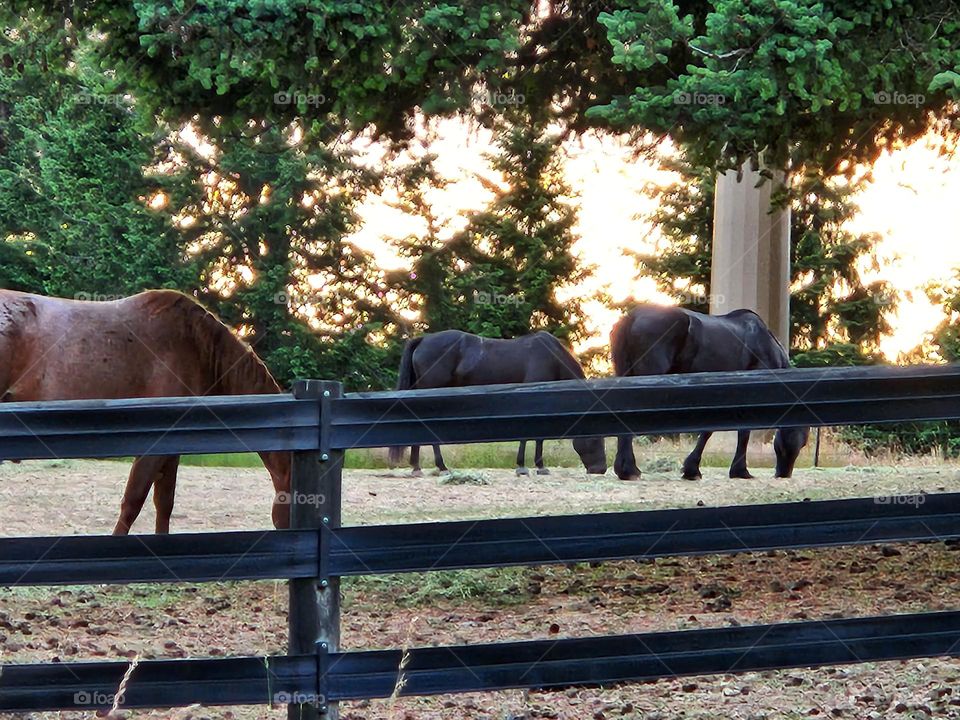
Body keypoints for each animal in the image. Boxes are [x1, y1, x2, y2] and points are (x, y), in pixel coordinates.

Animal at [387, 329, 607, 476]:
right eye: (595, 439)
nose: (600, 469)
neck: (552, 357)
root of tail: (424, 339)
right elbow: (533, 436)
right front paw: (528, 466)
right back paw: (441, 467)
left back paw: (417, 467)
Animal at [610, 304, 809, 481]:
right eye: (801, 438)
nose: (784, 473)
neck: (763, 344)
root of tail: (632, 317)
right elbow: (733, 431)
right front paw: (736, 471)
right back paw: (629, 470)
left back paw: (625, 469)